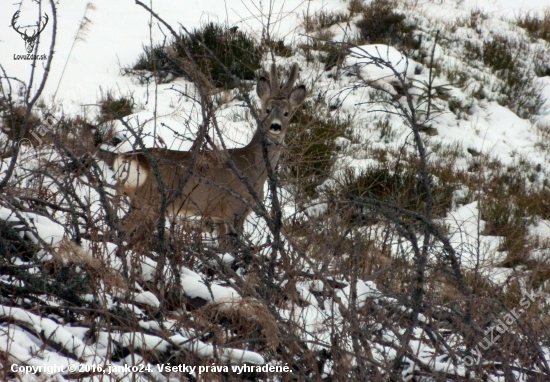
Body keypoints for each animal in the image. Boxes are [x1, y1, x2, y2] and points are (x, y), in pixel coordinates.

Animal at [114, 63, 308, 248]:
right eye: (267, 110)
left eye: (287, 113)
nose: (275, 126)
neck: (254, 168)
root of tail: (129, 158)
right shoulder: (233, 208)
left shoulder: (218, 215)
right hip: (150, 200)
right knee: (123, 227)